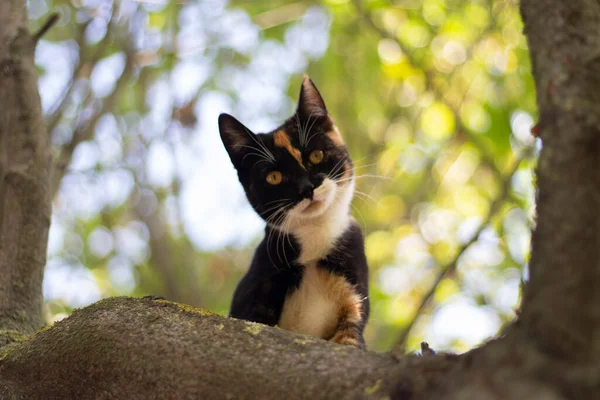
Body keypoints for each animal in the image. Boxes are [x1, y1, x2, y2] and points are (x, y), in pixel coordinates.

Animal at [220, 75, 370, 346]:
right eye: (274, 177)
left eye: (317, 154)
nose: (306, 188)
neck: (314, 237)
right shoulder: (257, 284)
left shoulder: (353, 280)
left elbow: (350, 334)